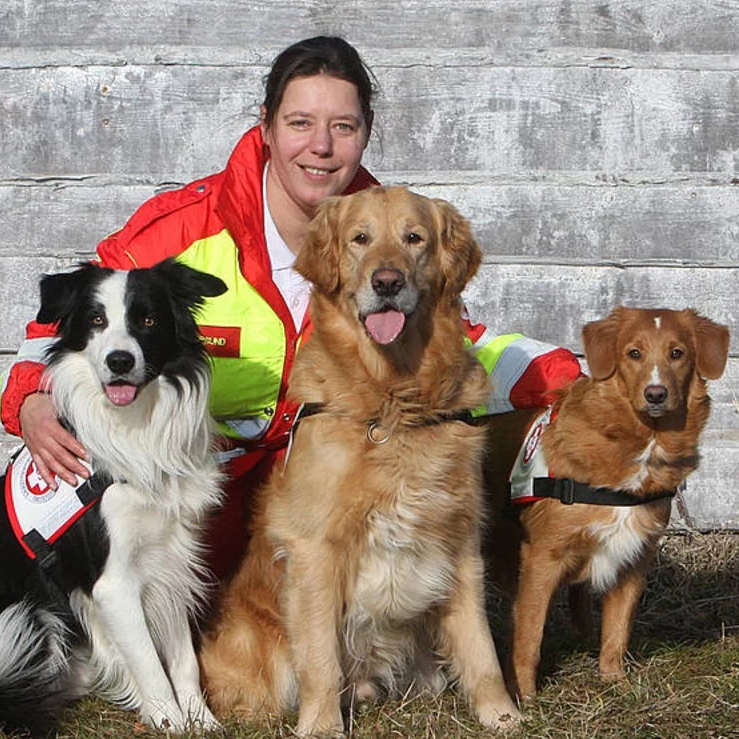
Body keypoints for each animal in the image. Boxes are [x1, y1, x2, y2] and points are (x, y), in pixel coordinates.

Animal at [198, 189, 520, 736]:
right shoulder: (315, 549)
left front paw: (502, 716)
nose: (386, 281)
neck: (392, 401)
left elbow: (481, 650)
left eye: (414, 238)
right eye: (360, 239)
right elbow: (321, 659)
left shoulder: (459, 542)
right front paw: (322, 726)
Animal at [482, 306, 732, 700]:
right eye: (634, 353)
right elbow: (529, 635)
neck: (642, 442)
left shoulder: (634, 558)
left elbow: (617, 630)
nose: (656, 394)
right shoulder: (541, 557)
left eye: (677, 353)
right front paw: (524, 695)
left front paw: (615, 681)